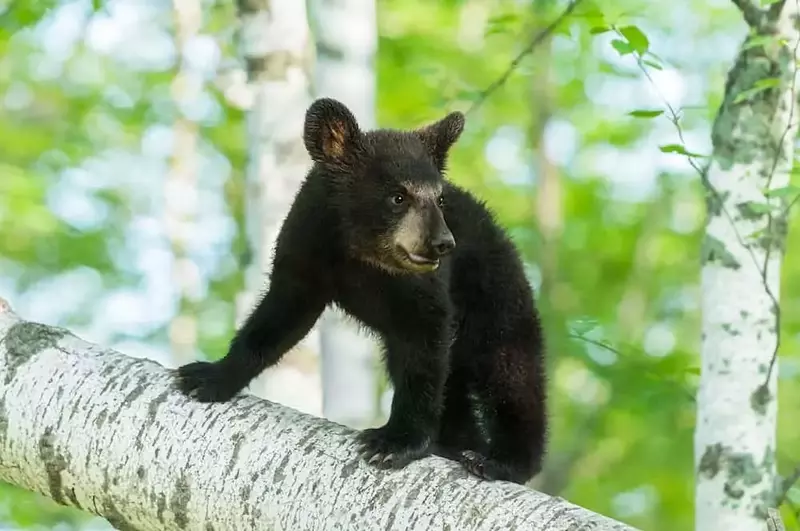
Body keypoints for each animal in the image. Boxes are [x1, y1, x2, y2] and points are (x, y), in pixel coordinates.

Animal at [174, 97, 548, 485]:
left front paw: (397, 441)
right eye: (398, 196)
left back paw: (502, 461)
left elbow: (424, 347)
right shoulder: (304, 249)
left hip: (495, 294)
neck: (358, 254)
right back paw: (458, 444)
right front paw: (209, 376)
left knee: (509, 369)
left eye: (440, 199)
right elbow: (278, 317)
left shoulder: (424, 289)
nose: (443, 243)